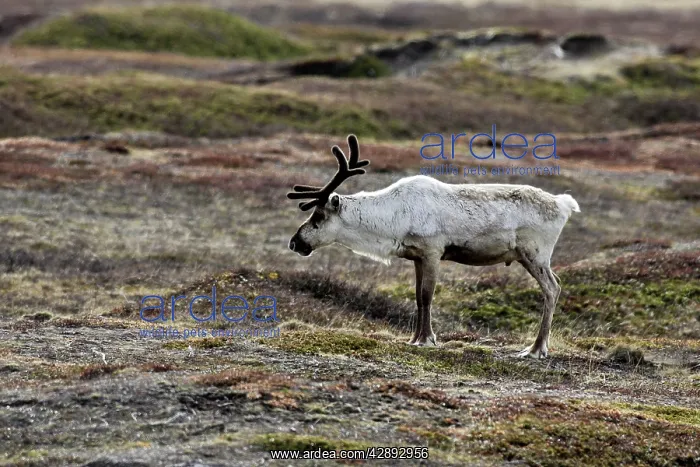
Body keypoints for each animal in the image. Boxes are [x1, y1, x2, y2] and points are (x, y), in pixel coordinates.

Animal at [287, 134, 580, 358]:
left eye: (318, 217)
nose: (294, 242)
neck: (394, 218)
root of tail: (564, 204)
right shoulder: (416, 256)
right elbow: (417, 297)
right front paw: (414, 337)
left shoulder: (432, 251)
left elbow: (428, 296)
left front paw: (426, 339)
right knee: (555, 285)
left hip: (535, 254)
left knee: (552, 288)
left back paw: (536, 349)